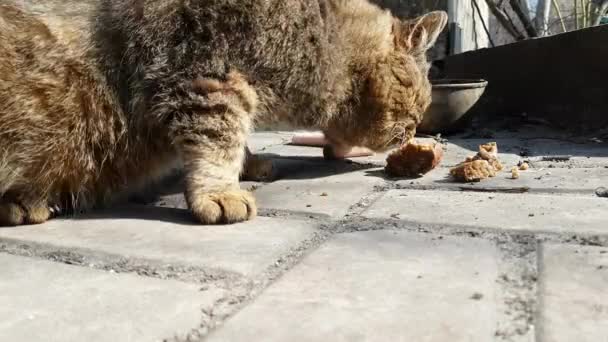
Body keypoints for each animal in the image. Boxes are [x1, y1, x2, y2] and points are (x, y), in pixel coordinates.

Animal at [0, 0, 446, 227]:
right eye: (419, 107)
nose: (413, 133)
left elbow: (236, 142)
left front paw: (250, 164)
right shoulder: (205, 75)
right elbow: (218, 139)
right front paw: (219, 191)